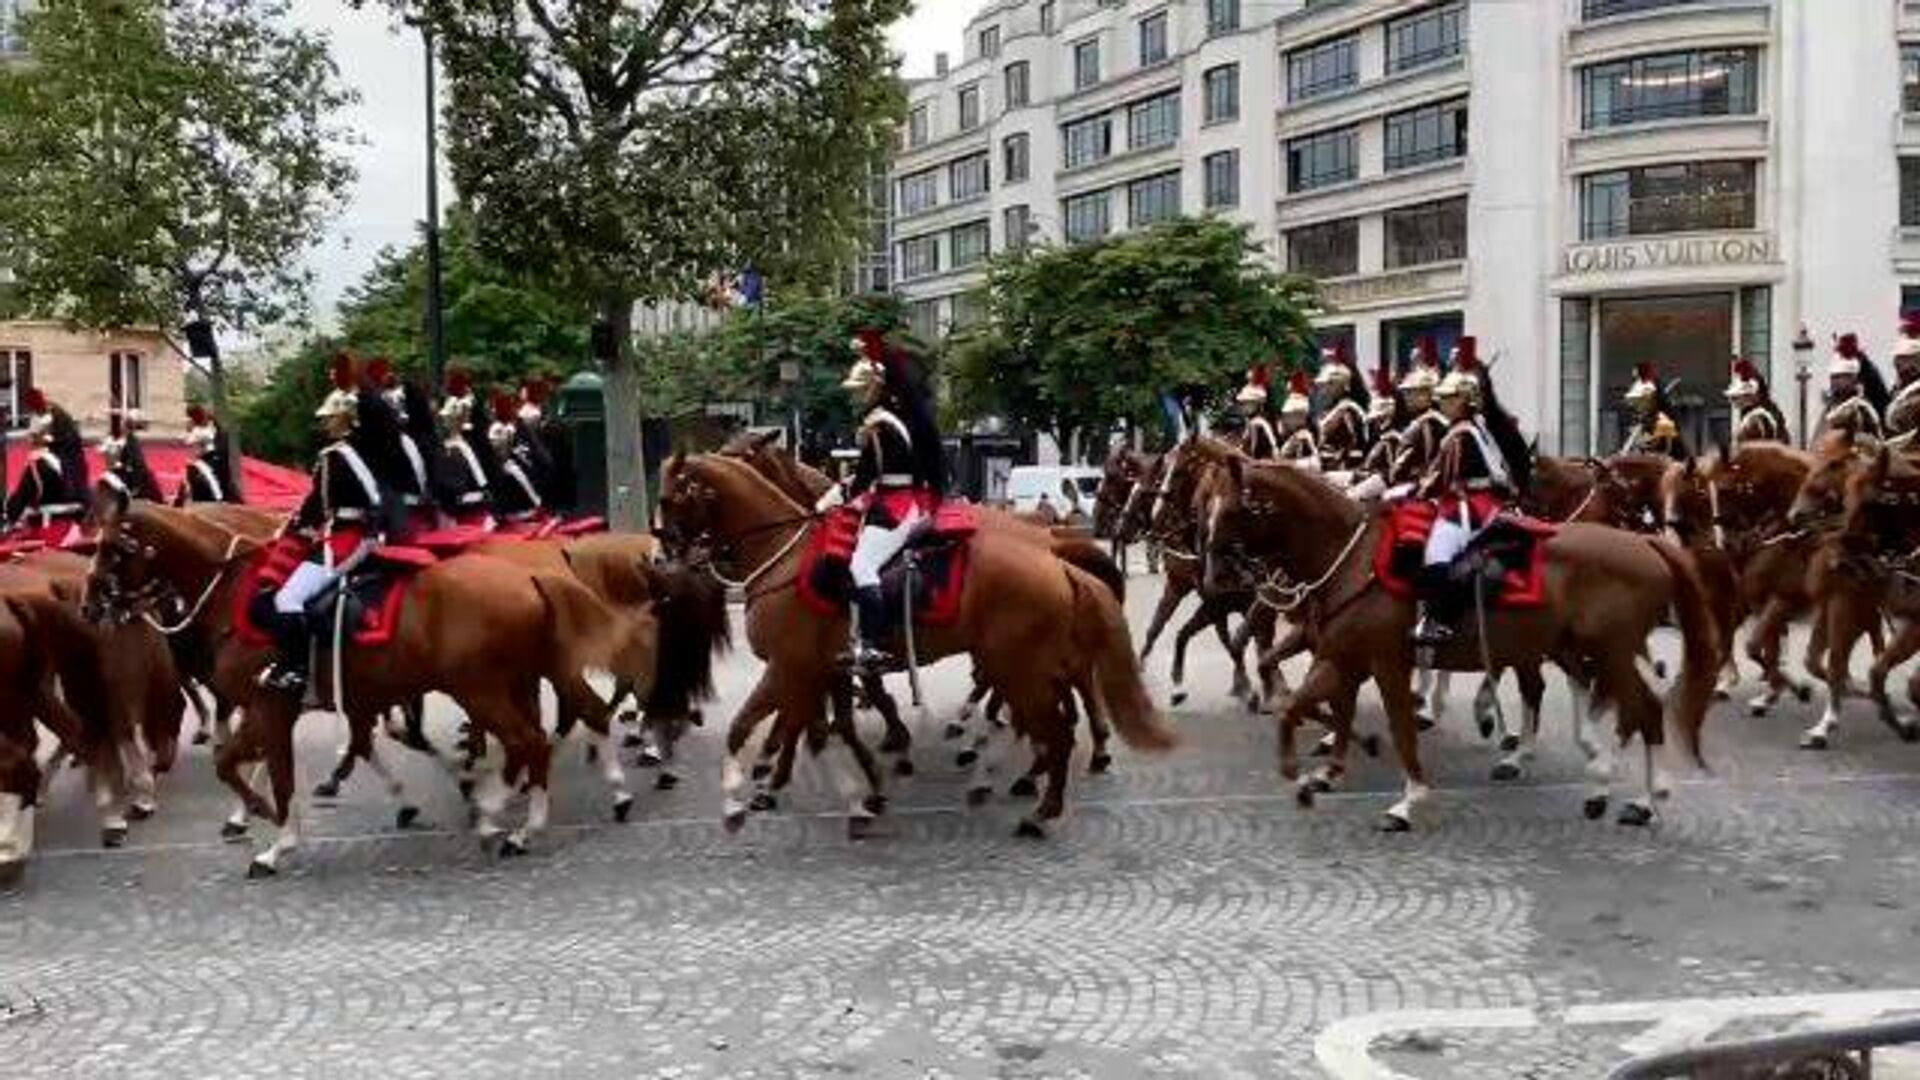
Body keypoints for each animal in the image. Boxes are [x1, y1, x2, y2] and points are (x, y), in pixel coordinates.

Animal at [86, 495, 664, 876]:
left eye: (112, 550)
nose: (91, 607)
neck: (238, 593)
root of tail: (530, 574)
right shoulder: (317, 702)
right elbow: (320, 752)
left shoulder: (271, 705)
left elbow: (268, 772)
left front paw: (275, 837)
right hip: (514, 679)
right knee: (561, 726)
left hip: (482, 688)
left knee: (534, 739)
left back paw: (513, 821)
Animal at [660, 449, 1167, 837]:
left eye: (668, 499)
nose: (663, 557)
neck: (782, 554)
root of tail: (1055, 559)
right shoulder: (824, 670)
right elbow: (830, 730)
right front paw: (864, 793)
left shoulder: (790, 667)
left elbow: (749, 727)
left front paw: (741, 799)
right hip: (1024, 665)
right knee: (1050, 716)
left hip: (1021, 668)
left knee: (1055, 727)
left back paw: (1036, 805)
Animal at [1190, 441, 1720, 826]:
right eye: (1206, 506)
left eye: (1233, 509)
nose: (1213, 576)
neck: (1352, 557)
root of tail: (1646, 544)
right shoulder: (1343, 657)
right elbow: (1307, 708)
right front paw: (1316, 772)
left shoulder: (1385, 661)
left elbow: (1399, 725)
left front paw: (1407, 799)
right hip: (1583, 649)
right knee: (1613, 702)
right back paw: (1604, 785)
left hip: (1608, 651)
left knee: (1642, 709)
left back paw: (1639, 799)